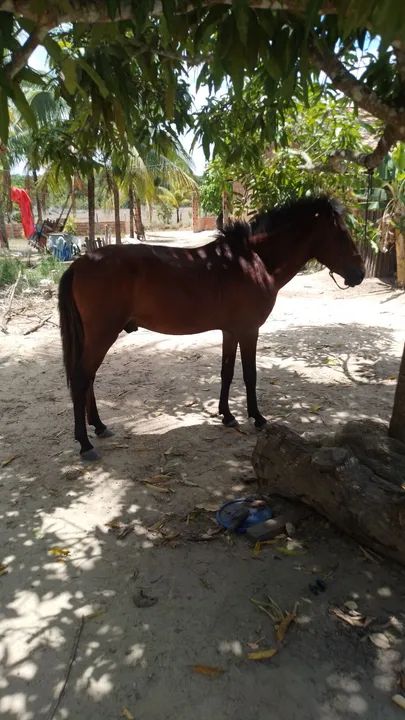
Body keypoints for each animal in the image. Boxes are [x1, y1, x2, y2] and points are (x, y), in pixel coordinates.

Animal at [58, 195, 365, 460]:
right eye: (341, 233)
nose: (360, 274)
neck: (254, 261)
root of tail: (80, 263)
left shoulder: (230, 331)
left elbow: (227, 373)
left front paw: (227, 415)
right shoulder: (249, 330)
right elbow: (250, 375)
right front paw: (258, 418)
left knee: (89, 378)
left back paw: (99, 426)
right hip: (102, 335)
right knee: (82, 377)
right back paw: (85, 443)